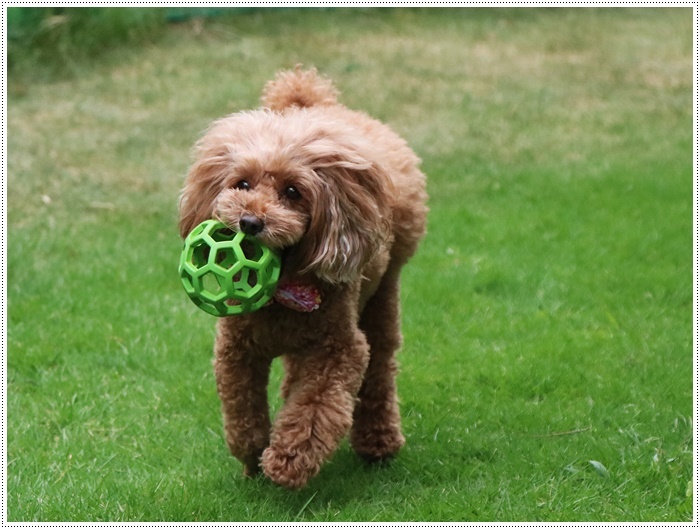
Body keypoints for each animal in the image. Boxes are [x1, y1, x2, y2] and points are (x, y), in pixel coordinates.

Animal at [179, 69, 426, 486]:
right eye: (242, 183)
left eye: (292, 192)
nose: (250, 222)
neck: (283, 289)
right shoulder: (237, 348)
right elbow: (242, 410)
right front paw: (252, 454)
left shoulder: (338, 349)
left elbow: (315, 409)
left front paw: (287, 459)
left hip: (382, 295)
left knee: (379, 368)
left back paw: (379, 442)